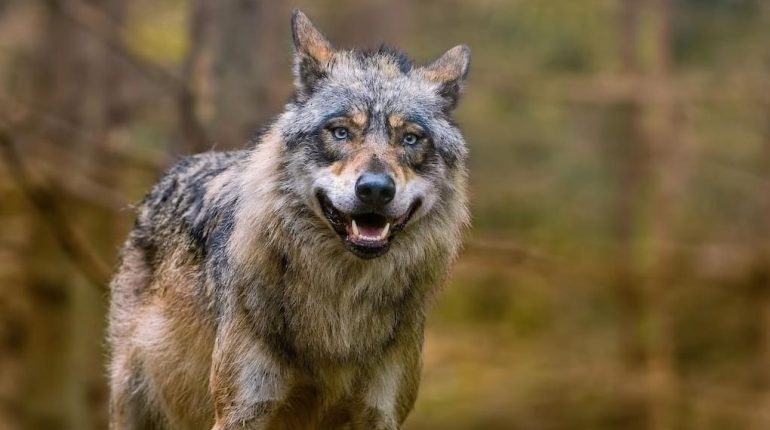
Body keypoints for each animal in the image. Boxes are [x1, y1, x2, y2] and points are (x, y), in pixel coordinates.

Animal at [108, 9, 470, 430]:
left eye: (410, 139)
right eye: (341, 132)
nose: (376, 190)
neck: (341, 307)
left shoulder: (381, 414)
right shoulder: (242, 410)